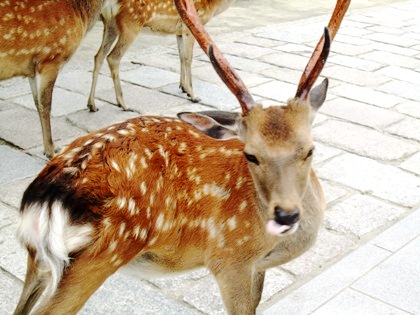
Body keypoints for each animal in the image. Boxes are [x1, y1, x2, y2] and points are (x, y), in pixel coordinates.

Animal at [86, 0, 236, 112]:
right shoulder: (190, 27)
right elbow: (188, 59)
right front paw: (193, 95)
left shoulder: (179, 31)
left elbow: (181, 57)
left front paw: (183, 87)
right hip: (131, 24)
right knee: (113, 57)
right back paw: (123, 104)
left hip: (110, 24)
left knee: (98, 56)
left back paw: (92, 104)